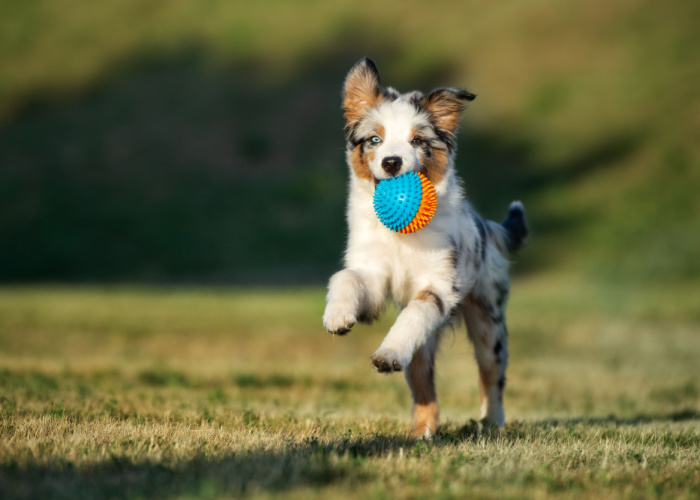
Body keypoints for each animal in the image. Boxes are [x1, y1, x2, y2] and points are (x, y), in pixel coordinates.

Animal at [322, 56, 524, 436]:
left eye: (417, 141)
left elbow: (416, 313)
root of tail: (487, 225)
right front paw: (338, 315)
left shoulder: (438, 284)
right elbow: (346, 277)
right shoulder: (372, 275)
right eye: (375, 139)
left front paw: (387, 353)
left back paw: (492, 422)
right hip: (427, 346)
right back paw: (422, 435)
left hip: (489, 323)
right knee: (422, 382)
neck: (400, 234)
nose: (392, 163)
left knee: (491, 377)